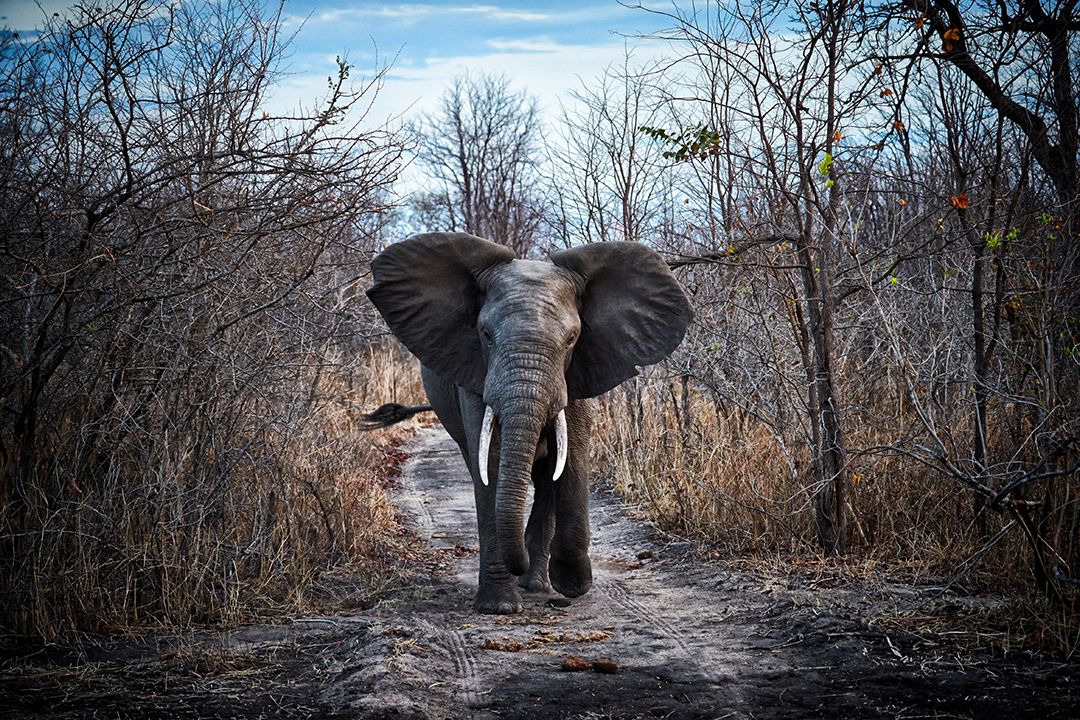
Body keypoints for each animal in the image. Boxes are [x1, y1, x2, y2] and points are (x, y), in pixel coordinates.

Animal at [367, 234, 691, 617]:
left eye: (572, 338)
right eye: (485, 334)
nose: (516, 564)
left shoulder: (579, 371)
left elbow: (572, 456)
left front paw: (572, 583)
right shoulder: (476, 373)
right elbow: (490, 464)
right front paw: (499, 606)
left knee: (549, 474)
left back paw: (537, 583)